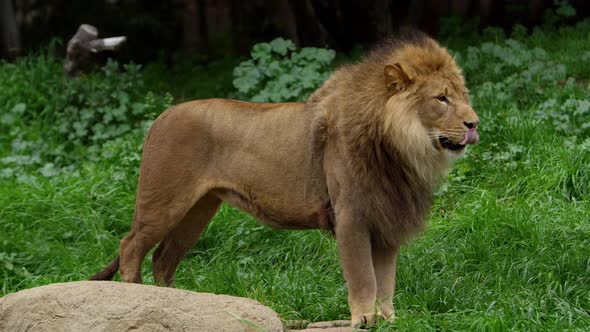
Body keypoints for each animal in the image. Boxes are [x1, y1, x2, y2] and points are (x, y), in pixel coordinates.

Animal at [92, 31, 480, 330]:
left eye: (463, 95)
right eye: (441, 99)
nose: (474, 123)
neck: (402, 147)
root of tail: (160, 116)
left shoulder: (386, 219)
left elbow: (386, 279)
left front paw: (389, 319)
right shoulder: (351, 216)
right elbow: (363, 277)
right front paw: (363, 319)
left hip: (199, 209)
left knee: (163, 257)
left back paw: (174, 305)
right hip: (163, 201)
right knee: (131, 246)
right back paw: (138, 297)